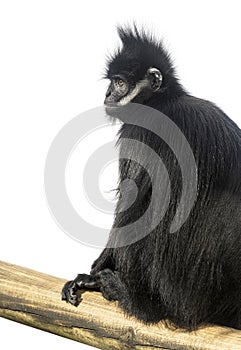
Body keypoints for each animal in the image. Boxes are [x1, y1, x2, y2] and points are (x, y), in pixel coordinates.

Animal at [62, 26, 241, 330]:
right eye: (112, 83)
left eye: (120, 83)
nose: (108, 94)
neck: (162, 102)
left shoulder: (142, 131)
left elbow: (130, 207)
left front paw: (94, 274)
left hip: (180, 290)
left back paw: (134, 300)